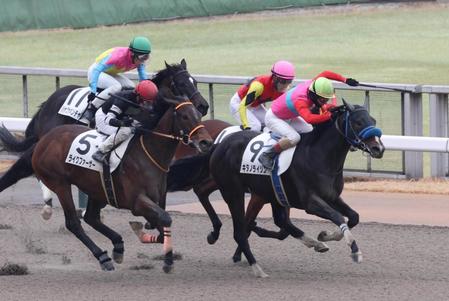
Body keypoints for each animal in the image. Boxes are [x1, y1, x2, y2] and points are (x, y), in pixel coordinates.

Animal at [30, 96, 212, 272]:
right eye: (184, 116)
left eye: (198, 115)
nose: (206, 142)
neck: (148, 154)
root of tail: (44, 140)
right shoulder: (137, 202)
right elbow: (165, 220)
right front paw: (167, 261)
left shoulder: (154, 200)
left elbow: (160, 227)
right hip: (60, 184)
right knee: (74, 223)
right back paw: (103, 257)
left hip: (96, 189)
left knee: (91, 217)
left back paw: (117, 246)